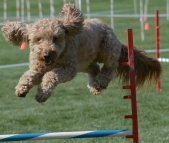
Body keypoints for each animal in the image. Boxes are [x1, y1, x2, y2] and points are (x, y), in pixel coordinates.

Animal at [1, 2, 162, 102]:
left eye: (55, 38)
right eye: (38, 39)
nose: (46, 54)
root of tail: (107, 26)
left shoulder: (68, 69)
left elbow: (51, 76)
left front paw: (42, 94)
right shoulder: (37, 67)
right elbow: (28, 75)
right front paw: (21, 89)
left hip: (108, 49)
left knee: (111, 65)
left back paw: (102, 81)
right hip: (84, 62)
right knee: (94, 68)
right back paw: (94, 86)